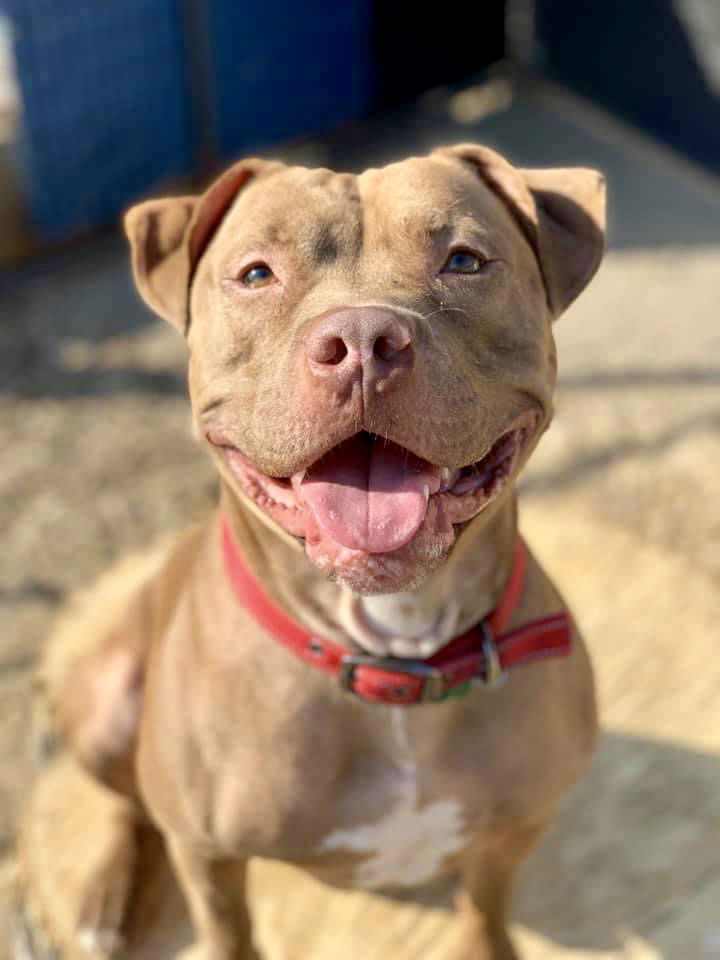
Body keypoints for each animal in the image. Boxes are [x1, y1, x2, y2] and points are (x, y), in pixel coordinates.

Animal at [47, 144, 604, 960]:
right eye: (256, 274)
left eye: (464, 260)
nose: (365, 342)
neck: (393, 655)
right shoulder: (208, 855)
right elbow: (229, 931)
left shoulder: (520, 820)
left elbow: (486, 905)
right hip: (106, 697)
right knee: (130, 802)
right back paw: (107, 895)